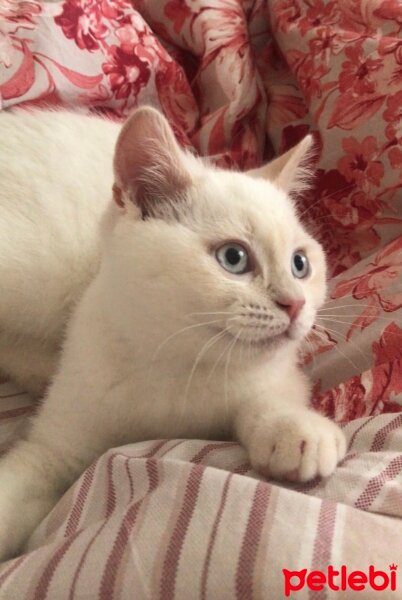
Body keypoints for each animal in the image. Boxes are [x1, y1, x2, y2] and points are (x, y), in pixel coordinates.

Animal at [0, 105, 346, 560]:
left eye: (300, 264)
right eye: (234, 258)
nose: (295, 305)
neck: (179, 364)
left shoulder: (277, 374)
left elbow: (269, 397)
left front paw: (296, 432)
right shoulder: (58, 443)